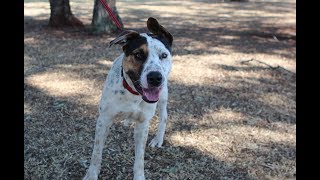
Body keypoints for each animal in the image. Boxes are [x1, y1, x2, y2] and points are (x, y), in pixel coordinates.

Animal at [82, 17, 172, 180]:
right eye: (138, 55)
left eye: (163, 55)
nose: (155, 78)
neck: (133, 93)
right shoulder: (104, 120)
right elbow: (96, 154)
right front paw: (91, 175)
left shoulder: (143, 124)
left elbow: (139, 159)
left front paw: (139, 176)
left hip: (162, 97)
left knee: (164, 116)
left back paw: (158, 139)